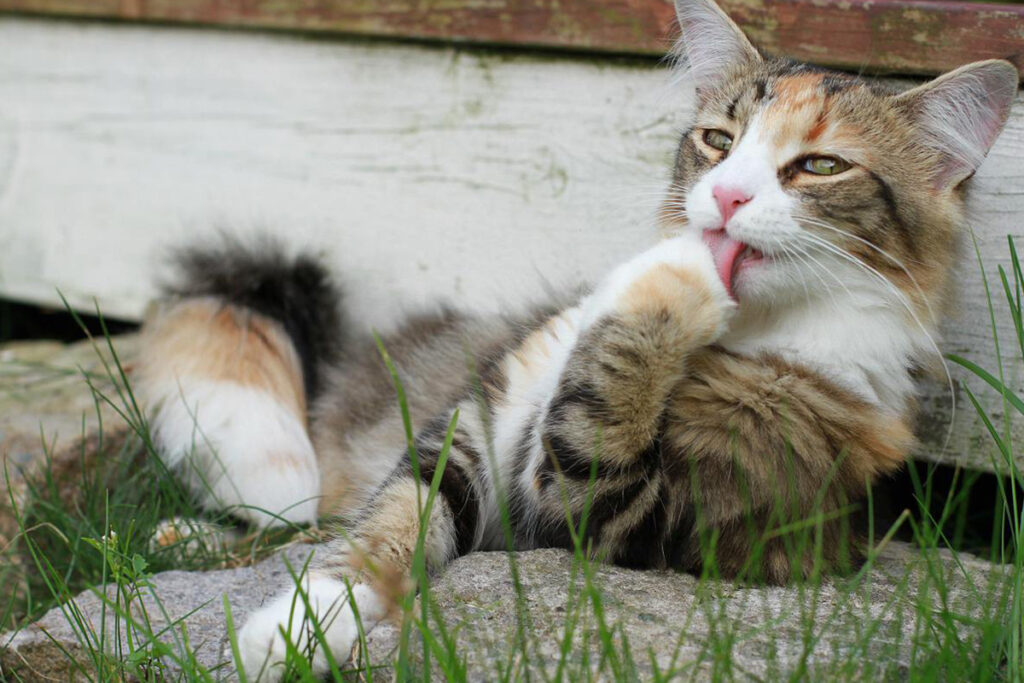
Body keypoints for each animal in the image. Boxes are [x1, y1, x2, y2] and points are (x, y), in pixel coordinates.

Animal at [130, 0, 1015, 675]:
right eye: (719, 141)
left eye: (822, 167)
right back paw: (183, 532)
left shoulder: (629, 512)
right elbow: (395, 519)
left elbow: (609, 385)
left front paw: (678, 274)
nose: (724, 199)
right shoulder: (482, 415)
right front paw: (297, 627)